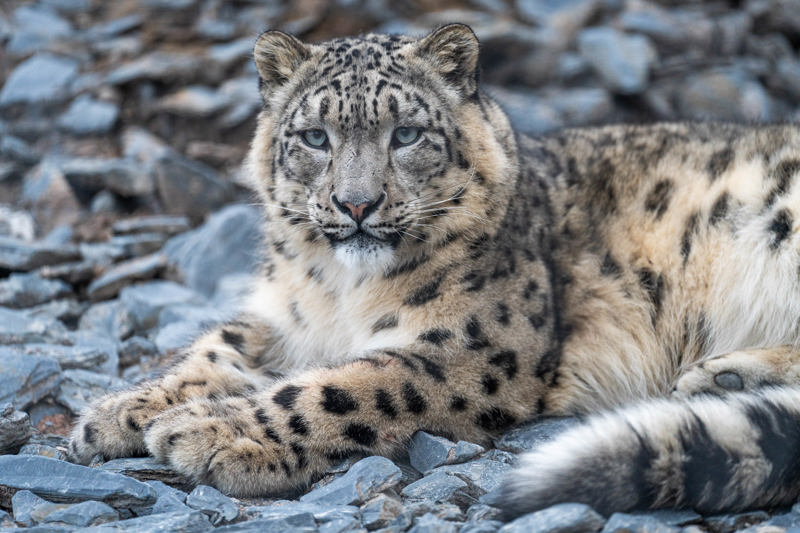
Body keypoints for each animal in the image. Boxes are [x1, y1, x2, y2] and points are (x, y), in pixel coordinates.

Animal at [69, 23, 800, 519]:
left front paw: (210, 429)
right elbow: (215, 347)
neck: (341, 291)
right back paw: (725, 377)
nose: (356, 203)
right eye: (314, 138)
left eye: (406, 134)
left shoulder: (472, 347)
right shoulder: (284, 319)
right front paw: (120, 410)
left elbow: (340, 388)